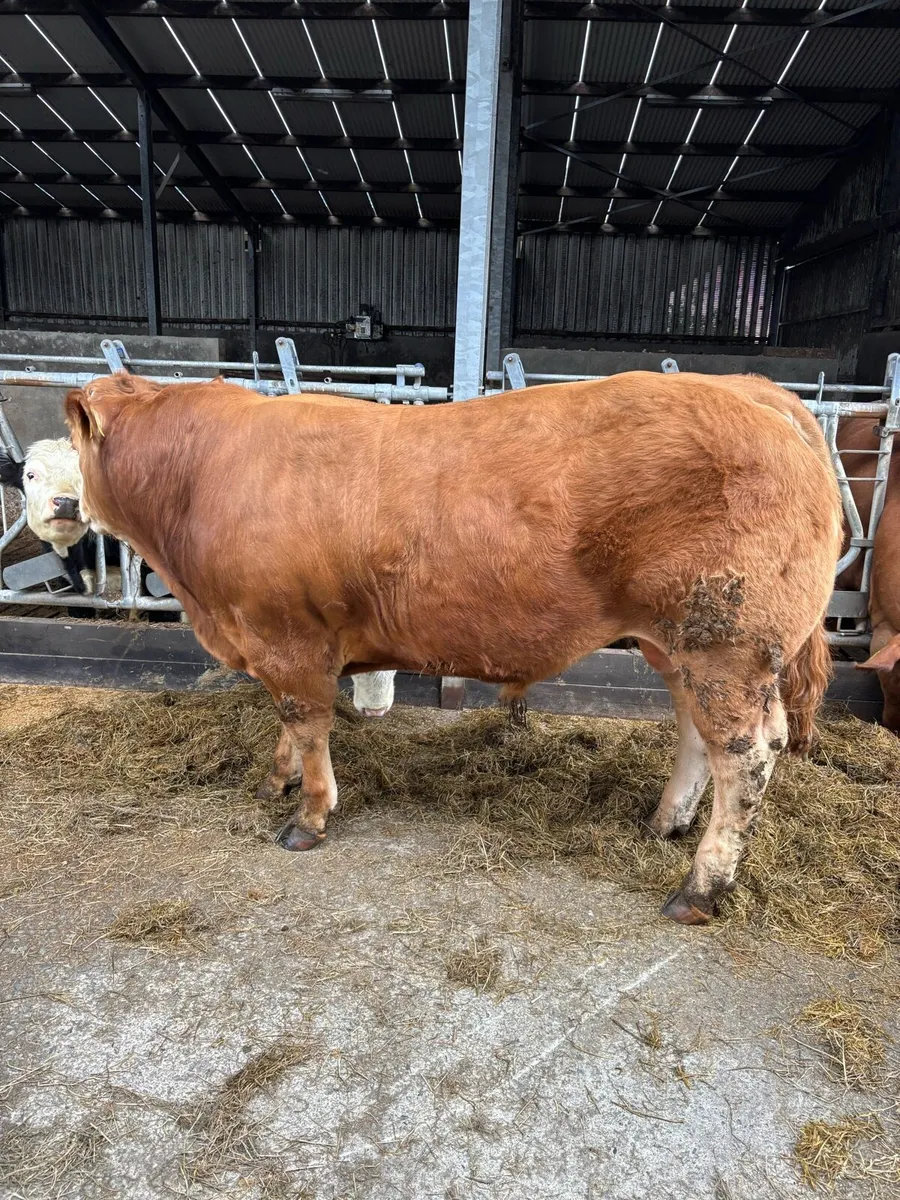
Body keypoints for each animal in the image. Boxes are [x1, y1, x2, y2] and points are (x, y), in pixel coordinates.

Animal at [65, 370, 841, 926]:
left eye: (62, 453)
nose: (63, 508)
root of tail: (750, 391)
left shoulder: (286, 637)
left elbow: (307, 723)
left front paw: (308, 815)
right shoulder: (273, 643)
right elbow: (287, 723)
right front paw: (273, 779)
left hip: (728, 645)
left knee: (746, 756)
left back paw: (700, 889)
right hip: (682, 646)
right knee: (696, 736)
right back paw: (665, 823)